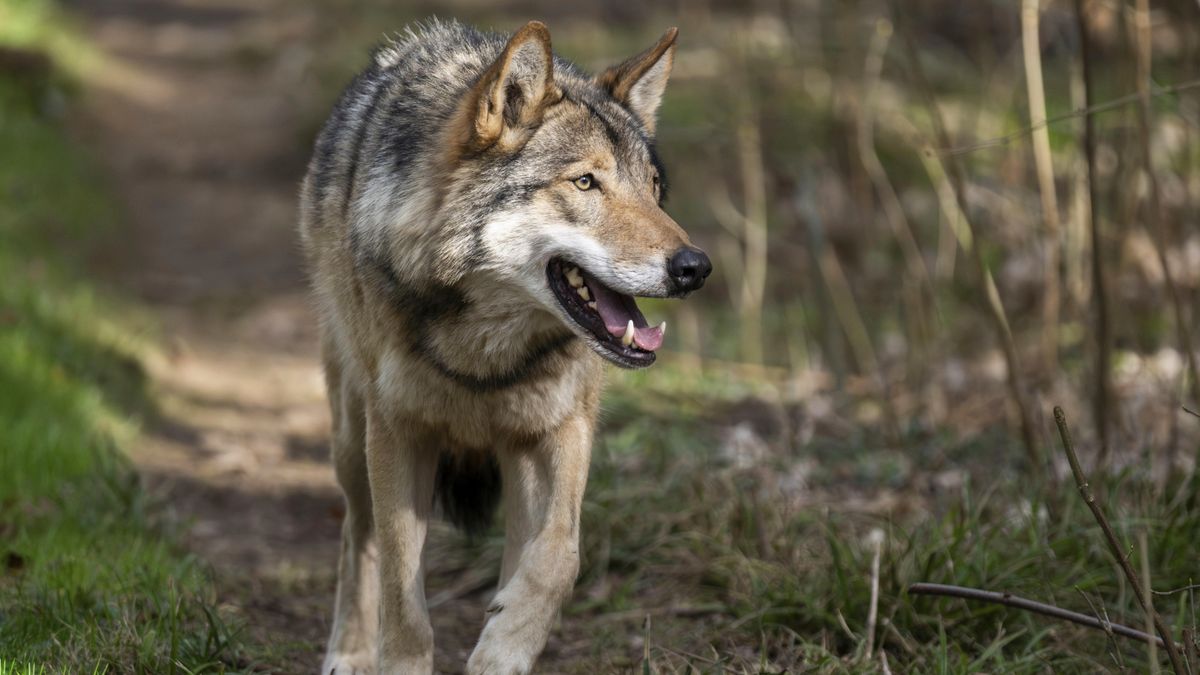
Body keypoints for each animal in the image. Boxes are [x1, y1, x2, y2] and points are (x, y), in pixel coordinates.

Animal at [299, 18, 711, 674]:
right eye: (586, 182)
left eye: (652, 189)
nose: (695, 267)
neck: (485, 355)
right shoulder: (397, 434)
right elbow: (400, 589)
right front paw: (399, 658)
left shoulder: (562, 428)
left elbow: (561, 556)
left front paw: (503, 647)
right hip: (350, 438)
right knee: (356, 534)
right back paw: (350, 650)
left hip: (517, 457)